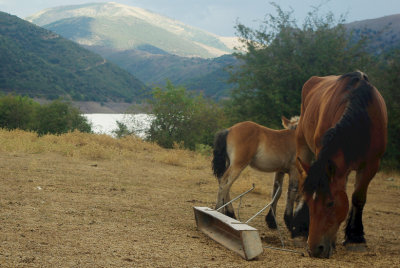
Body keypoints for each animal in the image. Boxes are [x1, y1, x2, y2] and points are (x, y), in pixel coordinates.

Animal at [294, 71, 388, 258]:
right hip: (303, 146)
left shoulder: (371, 165)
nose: (314, 249)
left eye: (330, 203)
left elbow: (358, 198)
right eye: (309, 202)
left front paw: (355, 238)